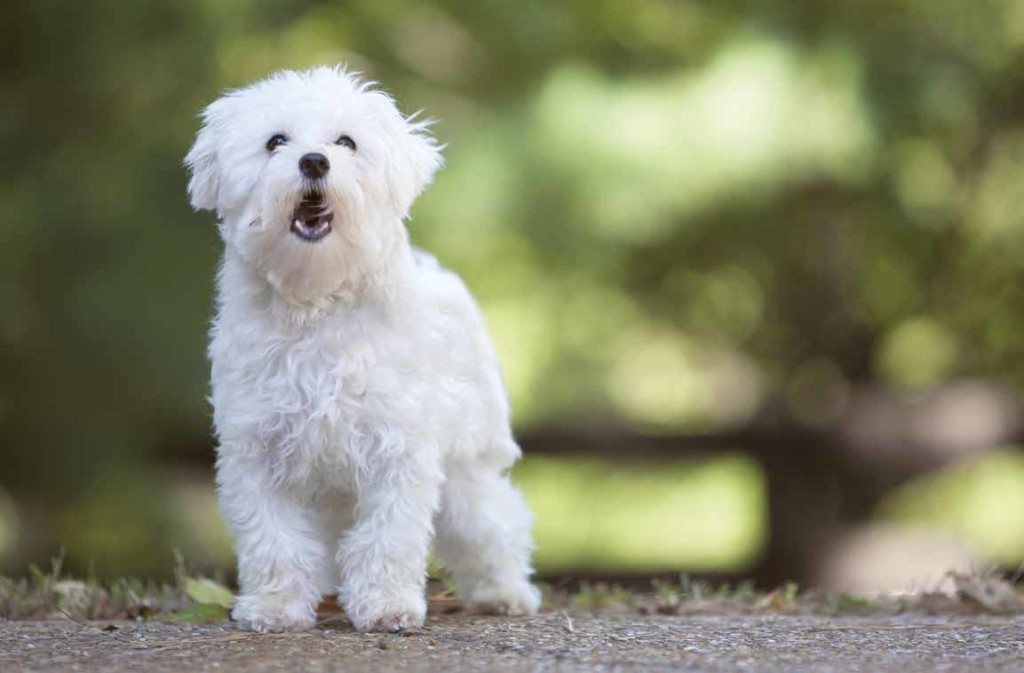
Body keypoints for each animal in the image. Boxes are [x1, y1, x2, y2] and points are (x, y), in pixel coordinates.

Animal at [183, 65, 540, 631]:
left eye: (346, 142)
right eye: (275, 142)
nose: (313, 160)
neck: (318, 301)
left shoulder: (397, 448)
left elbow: (388, 537)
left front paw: (388, 605)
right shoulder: (258, 448)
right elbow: (274, 539)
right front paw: (275, 608)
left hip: (468, 467)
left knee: (491, 523)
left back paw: (505, 592)